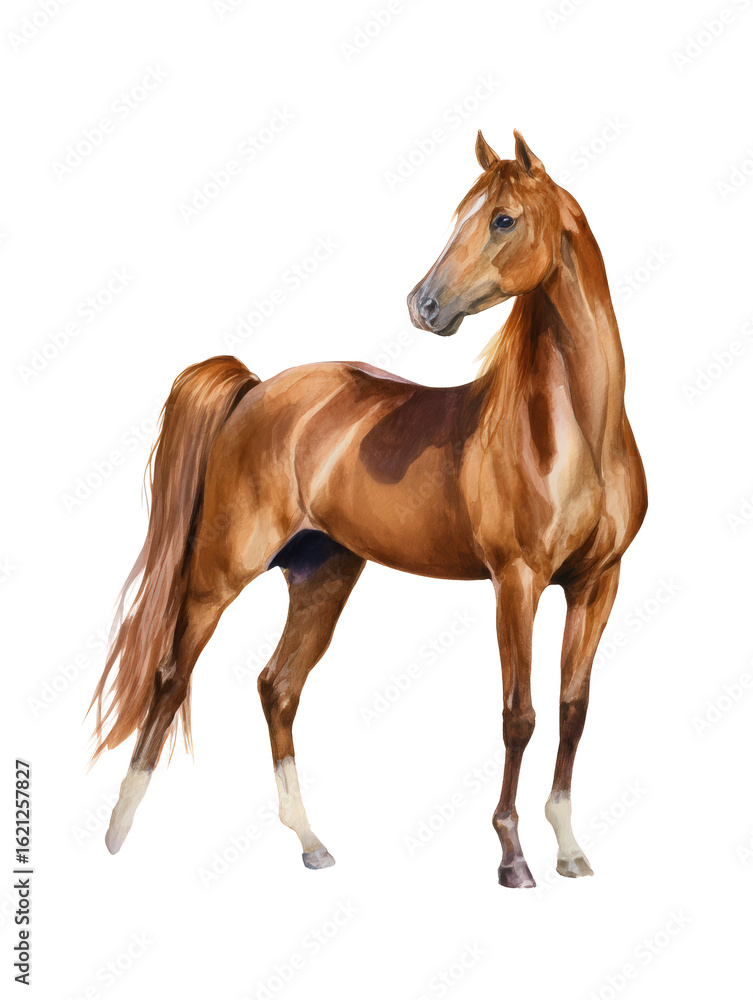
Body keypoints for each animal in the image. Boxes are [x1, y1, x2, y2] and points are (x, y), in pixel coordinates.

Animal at [90, 130, 647, 888]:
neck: (572, 434)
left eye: (502, 219)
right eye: (461, 215)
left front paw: (567, 849)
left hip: (324, 574)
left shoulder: (598, 582)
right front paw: (512, 856)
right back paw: (118, 832)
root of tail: (257, 389)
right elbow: (519, 715)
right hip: (219, 572)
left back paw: (310, 842)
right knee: (173, 675)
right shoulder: (517, 582)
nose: (424, 305)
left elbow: (572, 710)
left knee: (278, 686)